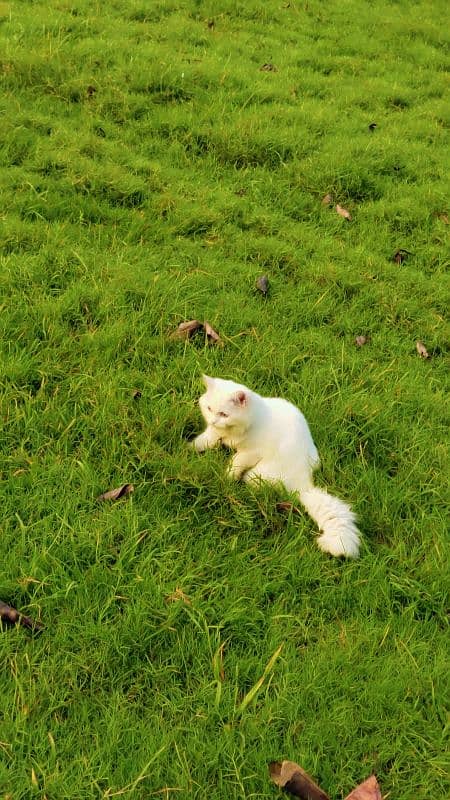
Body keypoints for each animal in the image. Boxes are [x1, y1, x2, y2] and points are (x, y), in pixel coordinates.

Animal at [192, 374, 360, 556]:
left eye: (224, 414)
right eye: (209, 408)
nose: (213, 421)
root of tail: (304, 484)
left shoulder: (250, 453)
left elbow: (234, 465)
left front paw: (226, 479)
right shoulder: (215, 433)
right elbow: (204, 440)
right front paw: (189, 449)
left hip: (256, 476)